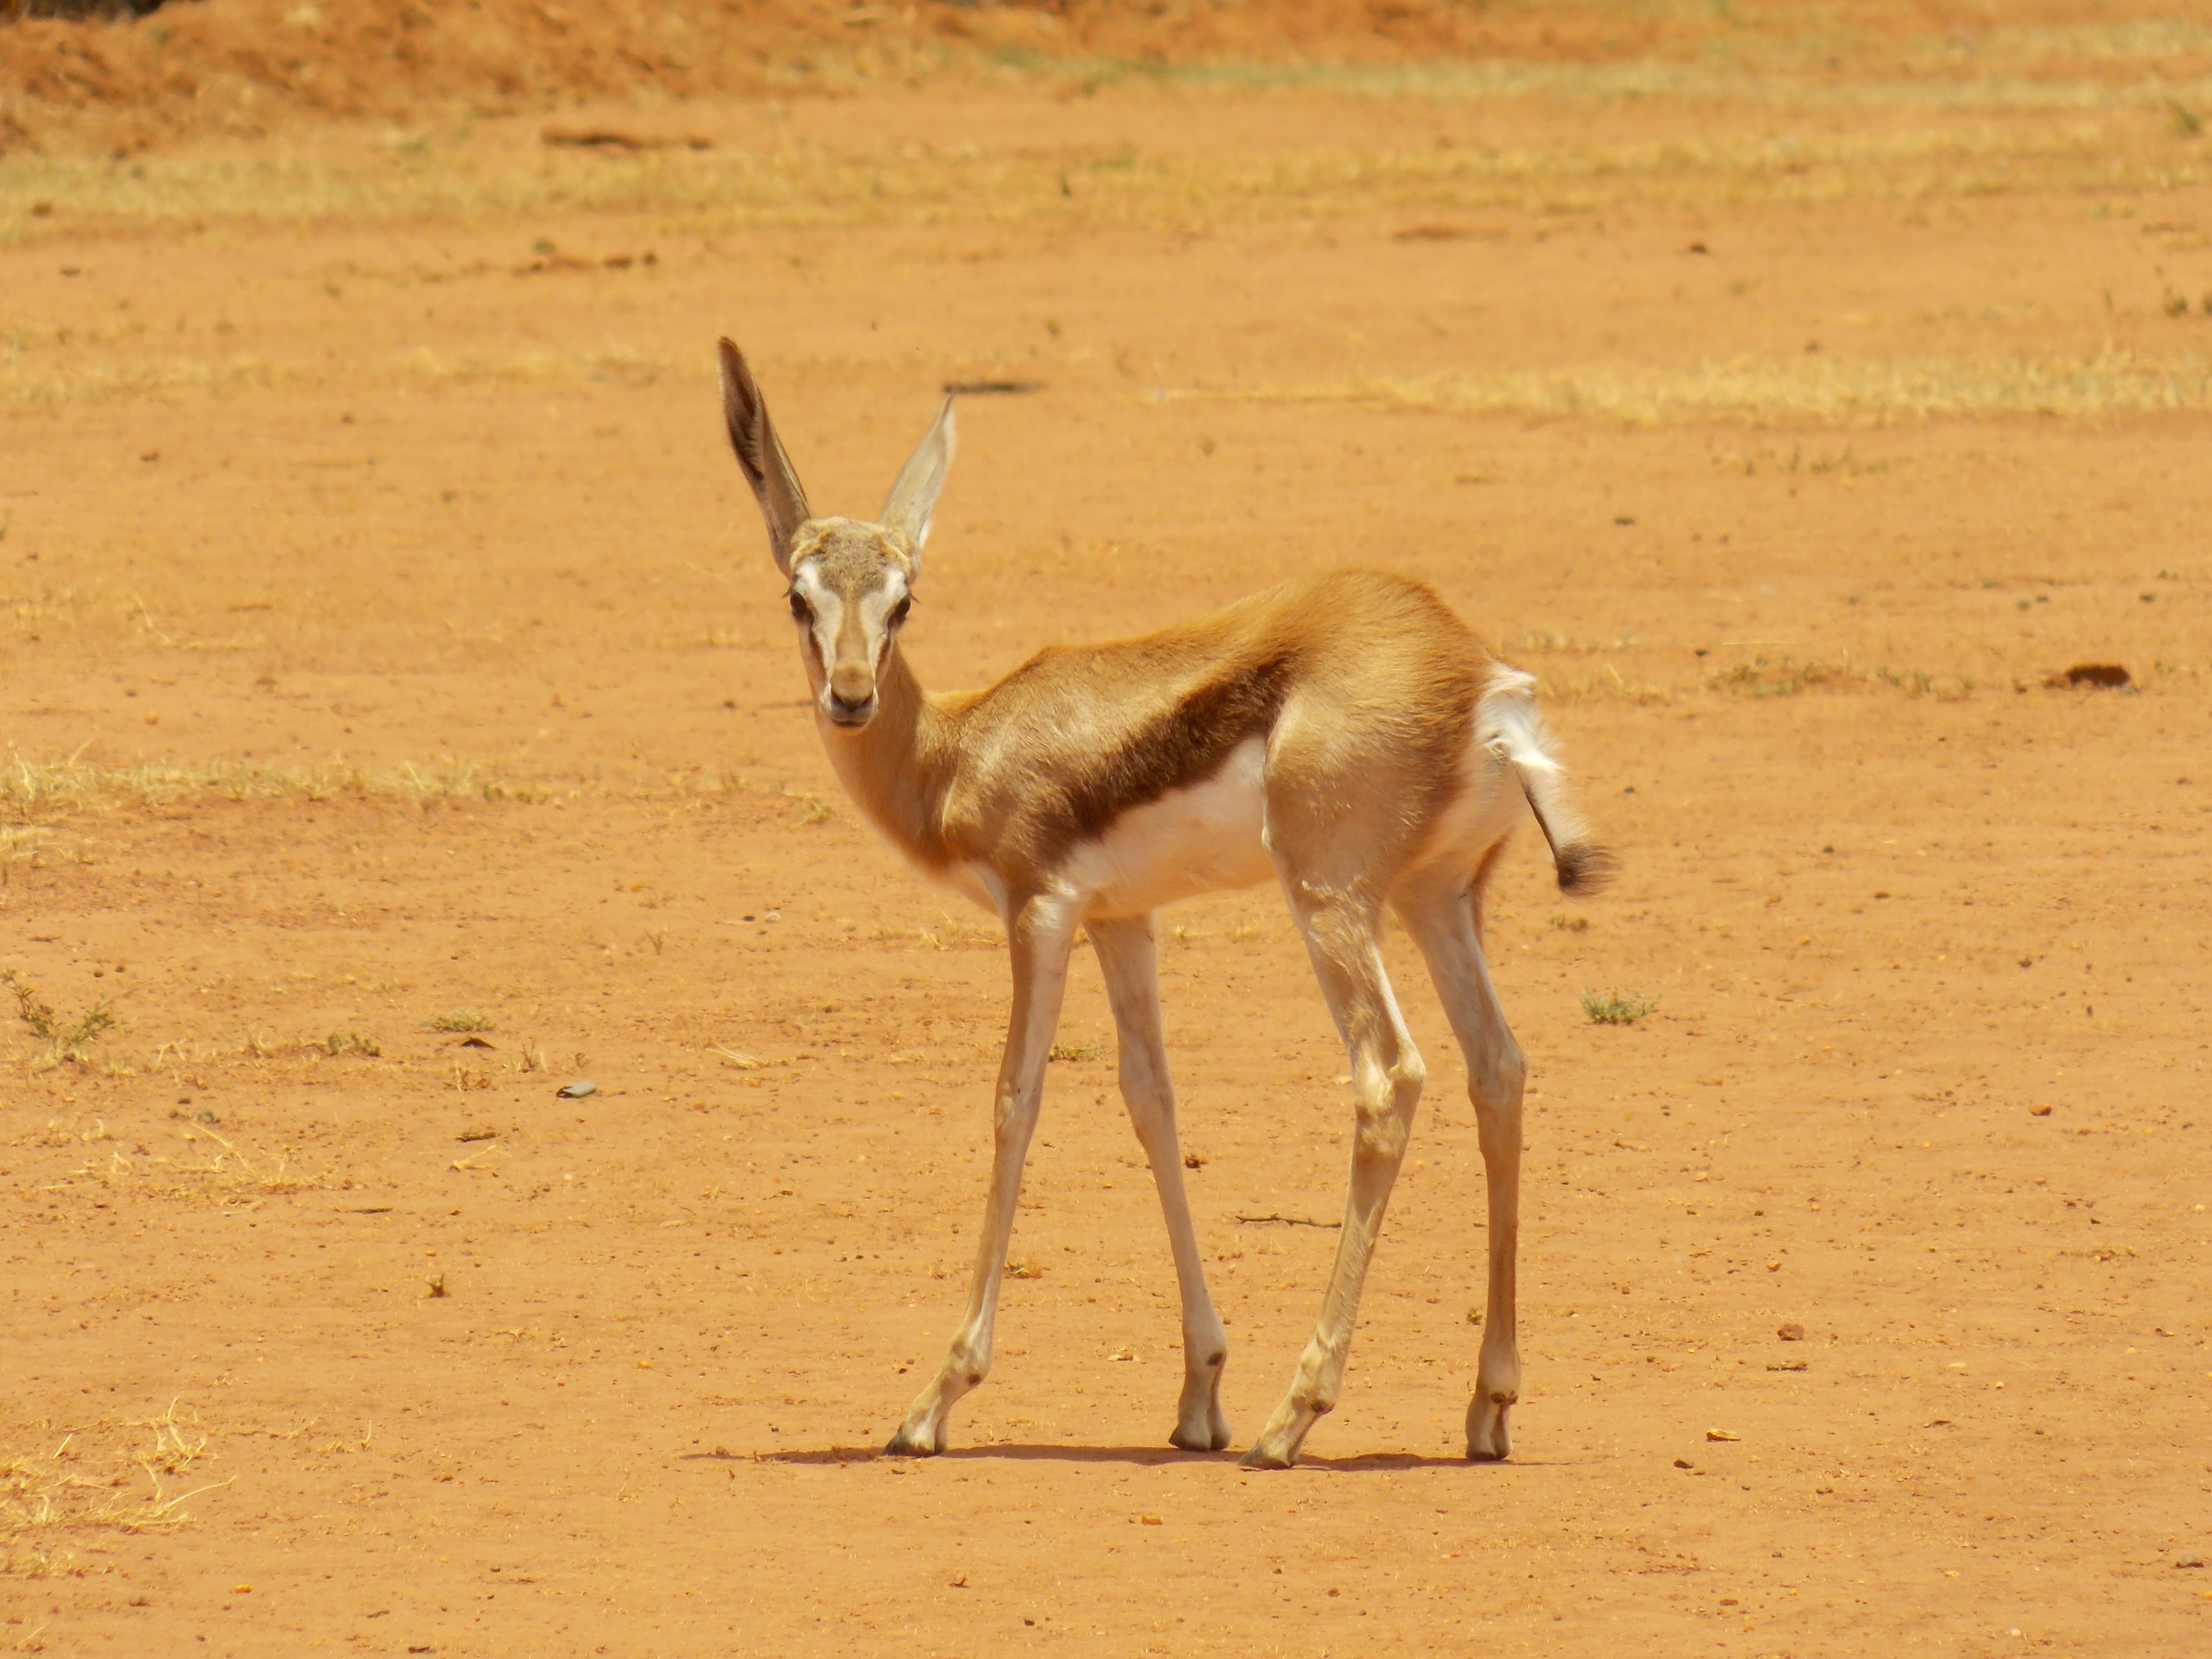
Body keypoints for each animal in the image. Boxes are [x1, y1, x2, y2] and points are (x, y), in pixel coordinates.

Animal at [715, 338, 1611, 1469]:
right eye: (800, 596)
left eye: (902, 600)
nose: (850, 697)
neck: (959, 750)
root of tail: (1483, 682)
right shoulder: (1121, 921)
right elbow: (1153, 1102)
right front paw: (1199, 1393)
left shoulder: (1041, 911)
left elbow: (1015, 1103)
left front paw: (934, 1400)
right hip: (1436, 900)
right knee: (1499, 1067)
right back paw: (1486, 1406)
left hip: (1329, 900)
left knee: (1391, 1078)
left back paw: (1293, 1417)